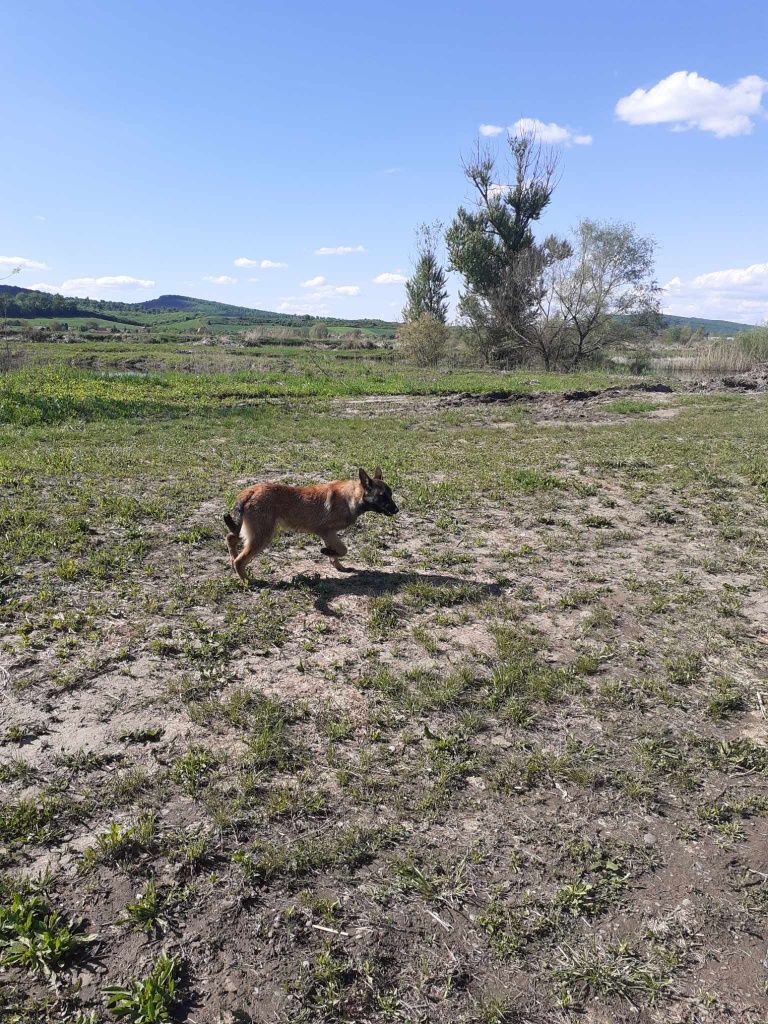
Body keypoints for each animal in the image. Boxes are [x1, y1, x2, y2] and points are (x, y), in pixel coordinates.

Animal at [222, 468, 399, 581]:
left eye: (390, 494)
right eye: (382, 496)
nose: (397, 510)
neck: (351, 497)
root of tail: (250, 491)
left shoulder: (329, 534)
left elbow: (337, 553)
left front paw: (337, 564)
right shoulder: (326, 532)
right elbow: (343, 550)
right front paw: (327, 552)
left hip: (252, 532)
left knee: (230, 538)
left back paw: (232, 560)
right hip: (262, 536)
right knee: (240, 560)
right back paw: (248, 580)